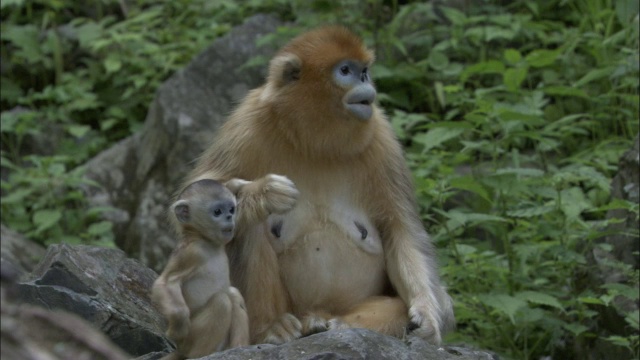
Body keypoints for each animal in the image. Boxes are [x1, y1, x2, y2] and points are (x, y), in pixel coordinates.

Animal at [151, 179, 249, 358]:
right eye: (217, 211)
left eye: (231, 209)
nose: (229, 217)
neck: (205, 241)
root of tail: (180, 351)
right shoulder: (191, 253)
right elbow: (165, 283)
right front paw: (178, 326)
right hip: (189, 341)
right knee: (221, 302)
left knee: (233, 294)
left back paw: (238, 347)